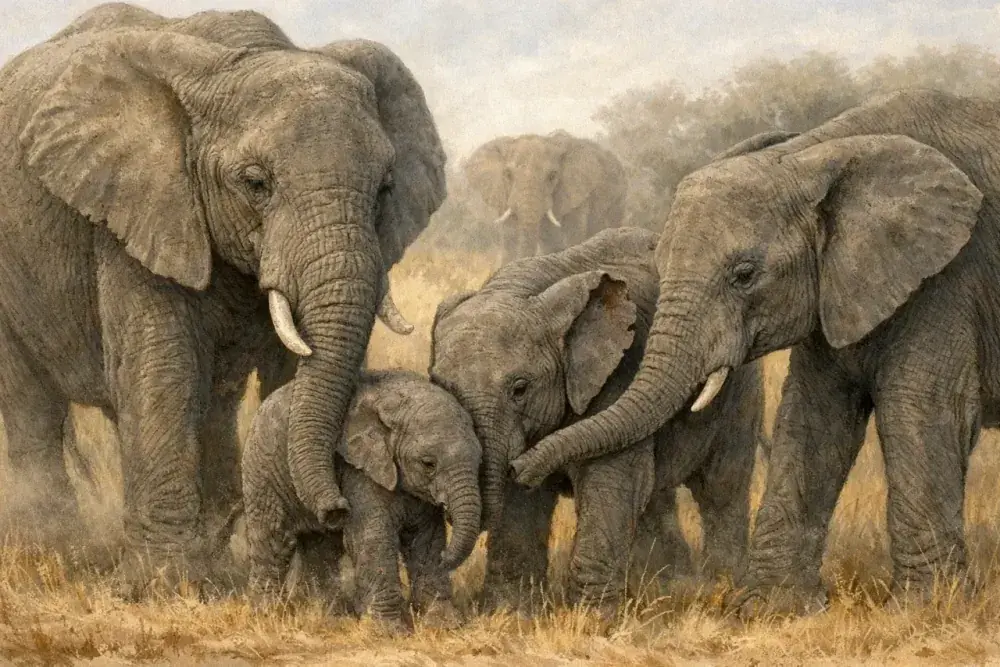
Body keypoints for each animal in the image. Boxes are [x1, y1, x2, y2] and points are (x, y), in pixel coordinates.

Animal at [0, 4, 446, 595]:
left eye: (385, 189)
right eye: (255, 183)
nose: (336, 512)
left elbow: (287, 373)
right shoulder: (142, 210)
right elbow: (163, 369)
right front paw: (163, 586)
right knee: (33, 405)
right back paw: (55, 551)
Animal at [238, 369, 481, 629]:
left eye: (480, 460)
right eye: (428, 464)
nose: (447, 559)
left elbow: (427, 538)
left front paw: (445, 624)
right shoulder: (359, 471)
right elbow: (373, 536)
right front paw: (389, 630)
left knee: (323, 547)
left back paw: (328, 616)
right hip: (262, 468)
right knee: (274, 538)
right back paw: (268, 614)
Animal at [429, 227, 765, 613]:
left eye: (520, 389)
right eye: (439, 385)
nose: (520, 467)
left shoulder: (619, 372)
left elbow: (607, 480)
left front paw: (595, 617)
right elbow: (522, 503)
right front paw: (509, 612)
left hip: (740, 388)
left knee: (721, 486)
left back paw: (720, 584)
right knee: (655, 495)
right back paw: (668, 582)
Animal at [511, 88, 1000, 613]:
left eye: (744, 275)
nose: (518, 467)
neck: (815, 153)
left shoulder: (951, 275)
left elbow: (920, 408)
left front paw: (923, 608)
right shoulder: (835, 285)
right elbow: (813, 415)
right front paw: (773, 607)